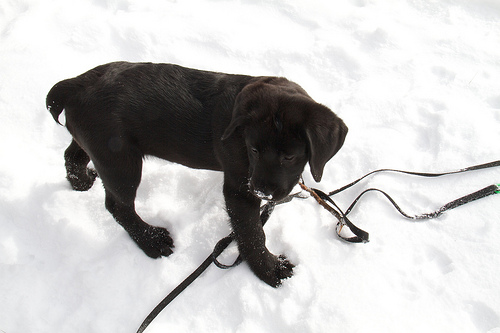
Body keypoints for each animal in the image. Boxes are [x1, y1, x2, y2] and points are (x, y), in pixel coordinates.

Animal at [46, 61, 348, 286]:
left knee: (73, 155)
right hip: (120, 160)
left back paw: (81, 182)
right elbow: (252, 233)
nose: (262, 191)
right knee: (117, 206)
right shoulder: (239, 189)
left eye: (289, 156)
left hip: (96, 144)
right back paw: (151, 240)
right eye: (253, 150)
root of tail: (74, 84)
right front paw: (269, 269)